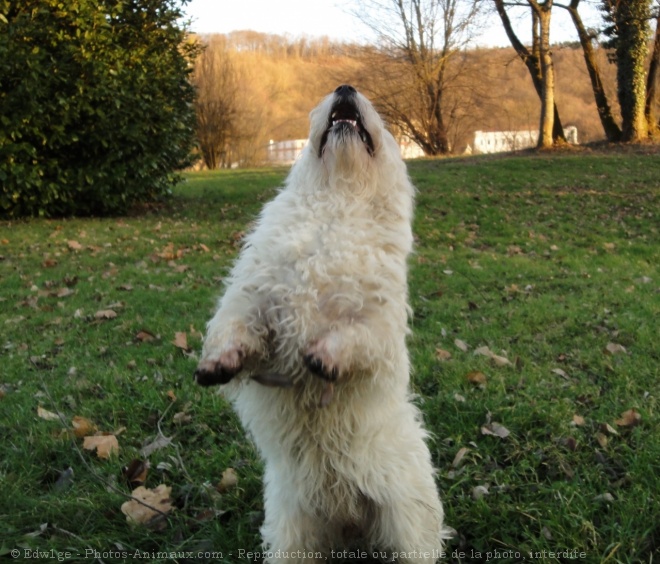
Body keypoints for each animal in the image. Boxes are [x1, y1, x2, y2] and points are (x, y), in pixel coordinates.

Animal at [192, 86, 448, 560]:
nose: (345, 87)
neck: (338, 201)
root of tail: (347, 518)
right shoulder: (254, 300)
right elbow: (233, 328)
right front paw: (218, 362)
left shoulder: (377, 327)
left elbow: (352, 337)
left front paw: (326, 356)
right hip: (293, 534)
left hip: (406, 525)